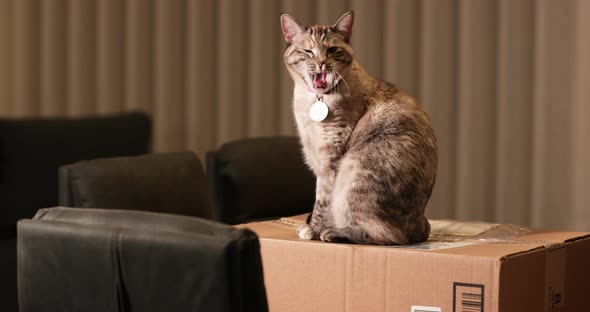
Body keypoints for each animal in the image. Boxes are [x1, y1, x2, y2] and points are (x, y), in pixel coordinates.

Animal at [282, 11, 440, 244]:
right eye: (308, 51)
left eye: (332, 50)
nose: (321, 63)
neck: (312, 100)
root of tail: (420, 229)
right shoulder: (316, 156)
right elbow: (318, 199)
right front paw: (311, 227)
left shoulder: (330, 160)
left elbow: (322, 202)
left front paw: (314, 230)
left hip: (354, 170)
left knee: (389, 235)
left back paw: (334, 233)